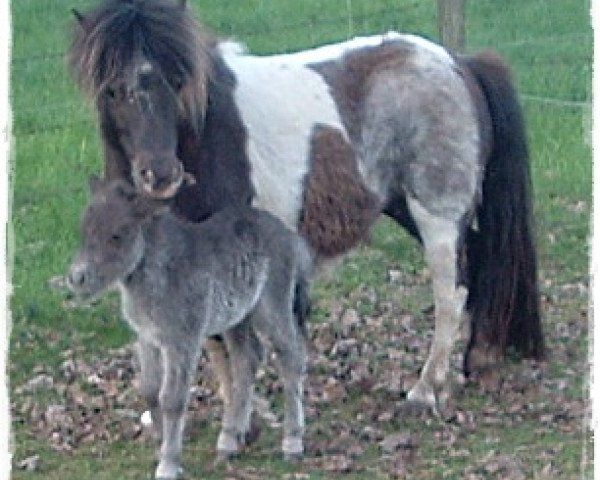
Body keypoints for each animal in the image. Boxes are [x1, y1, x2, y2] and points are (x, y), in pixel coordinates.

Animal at [69, 0, 544, 412]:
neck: (206, 135)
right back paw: (480, 359)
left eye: (177, 79)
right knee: (479, 267)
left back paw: (426, 390)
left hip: (436, 214)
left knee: (451, 293)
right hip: (411, 208)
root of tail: (458, 63)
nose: (161, 174)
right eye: (112, 91)